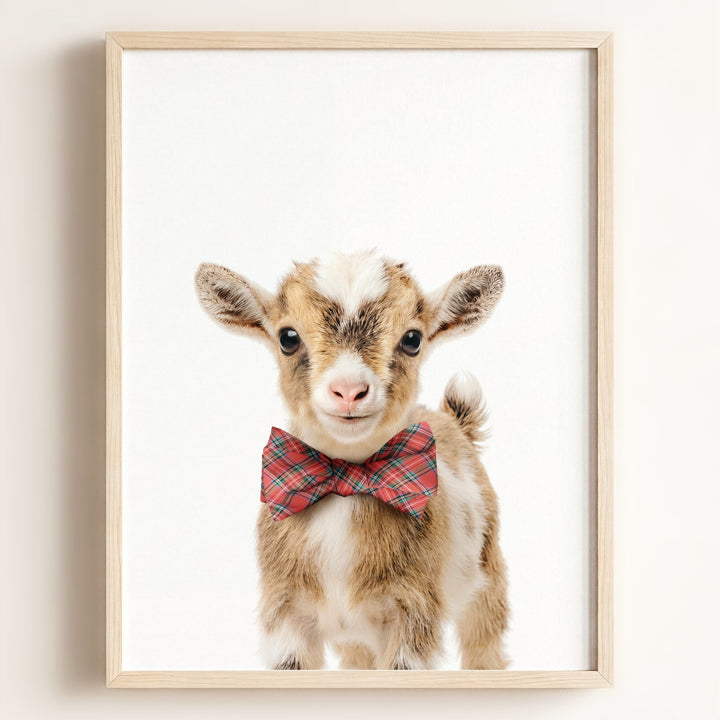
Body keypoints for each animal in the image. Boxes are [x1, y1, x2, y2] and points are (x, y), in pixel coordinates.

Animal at [195, 250, 509, 670]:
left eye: (412, 339)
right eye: (288, 337)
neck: (346, 481)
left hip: (488, 576)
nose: (348, 390)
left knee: (485, 643)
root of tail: (454, 420)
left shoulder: (413, 612)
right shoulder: (285, 615)